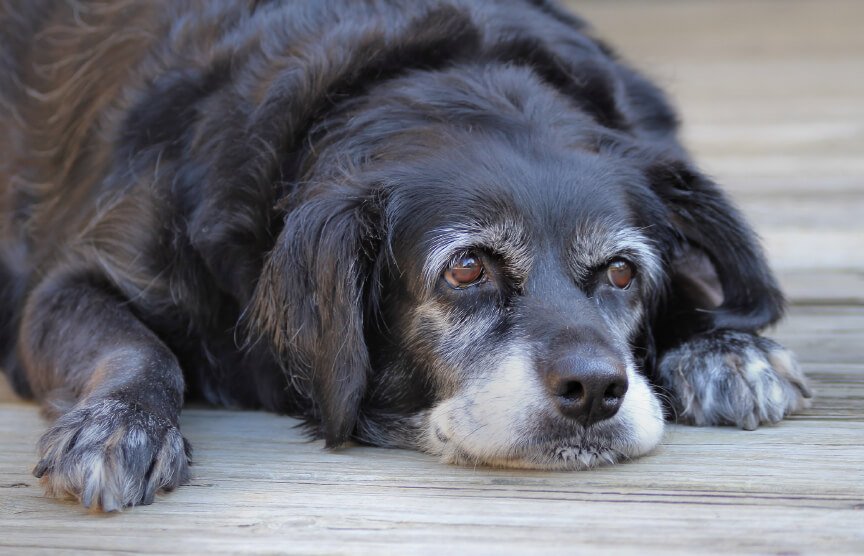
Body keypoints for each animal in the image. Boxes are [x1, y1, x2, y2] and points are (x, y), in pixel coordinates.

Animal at [0, 0, 808, 512]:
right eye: (467, 268)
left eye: (622, 272)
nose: (596, 390)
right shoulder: (68, 285)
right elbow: (139, 347)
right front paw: (120, 423)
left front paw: (722, 346)